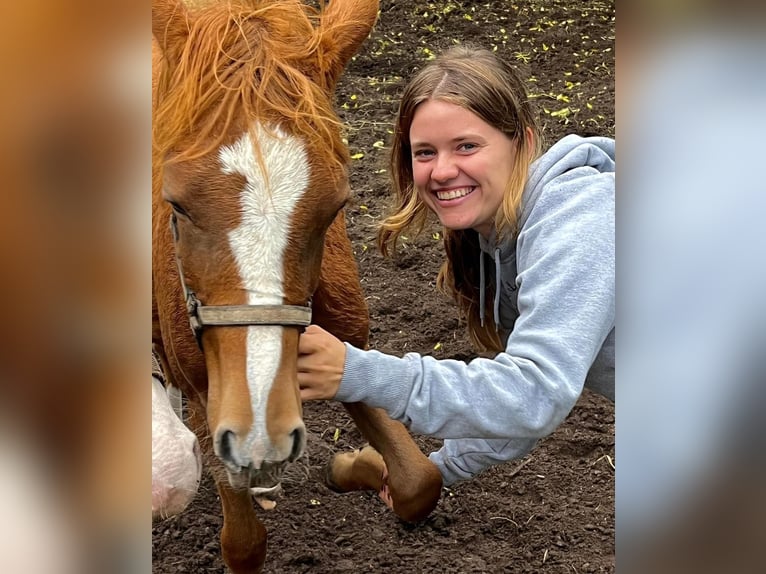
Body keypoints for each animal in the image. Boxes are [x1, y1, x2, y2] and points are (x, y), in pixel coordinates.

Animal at [152, 0, 440, 572]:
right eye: (176, 204)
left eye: (337, 205)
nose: (262, 434)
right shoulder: (207, 397)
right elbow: (243, 543)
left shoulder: (349, 345)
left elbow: (419, 481)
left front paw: (356, 466)